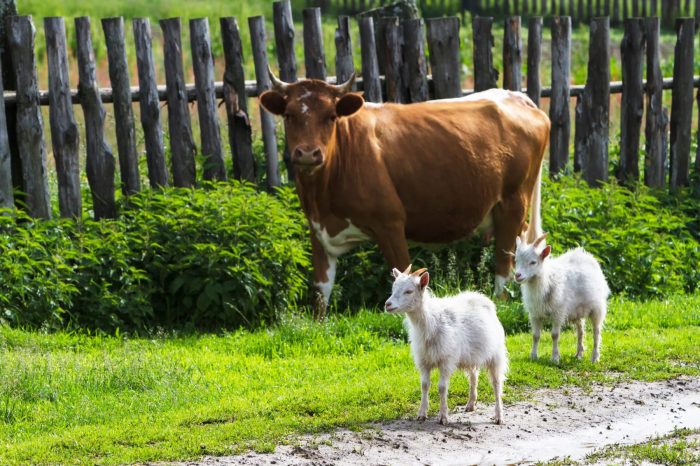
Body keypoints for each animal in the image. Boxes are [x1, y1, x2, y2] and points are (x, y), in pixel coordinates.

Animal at [260, 69, 548, 316]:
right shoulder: (317, 230)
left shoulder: (390, 223)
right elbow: (321, 293)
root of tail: (518, 97)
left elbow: (403, 271)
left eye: (331, 116)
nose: (308, 153)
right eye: (288, 115)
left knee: (504, 267)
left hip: (512, 204)